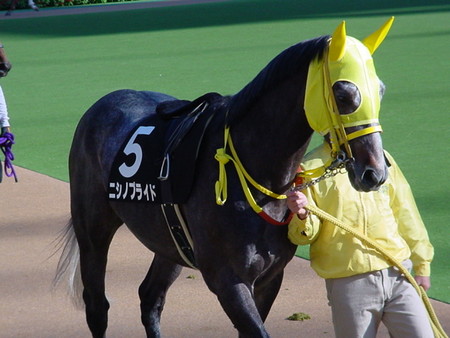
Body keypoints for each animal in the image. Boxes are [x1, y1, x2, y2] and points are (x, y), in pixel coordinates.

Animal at [55, 21, 390, 338]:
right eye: (343, 93)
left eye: (381, 90)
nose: (375, 171)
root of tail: (102, 103)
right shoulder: (228, 280)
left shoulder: (270, 277)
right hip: (93, 229)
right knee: (97, 305)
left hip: (170, 242)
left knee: (150, 297)